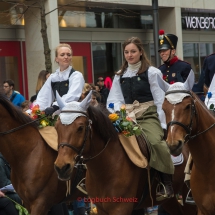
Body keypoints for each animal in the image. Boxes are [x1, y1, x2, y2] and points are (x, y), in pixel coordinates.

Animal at [53, 91, 197, 214]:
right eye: (56, 127)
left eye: (80, 128)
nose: (61, 167)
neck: (106, 167)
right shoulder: (101, 209)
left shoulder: (120, 208)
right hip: (169, 201)